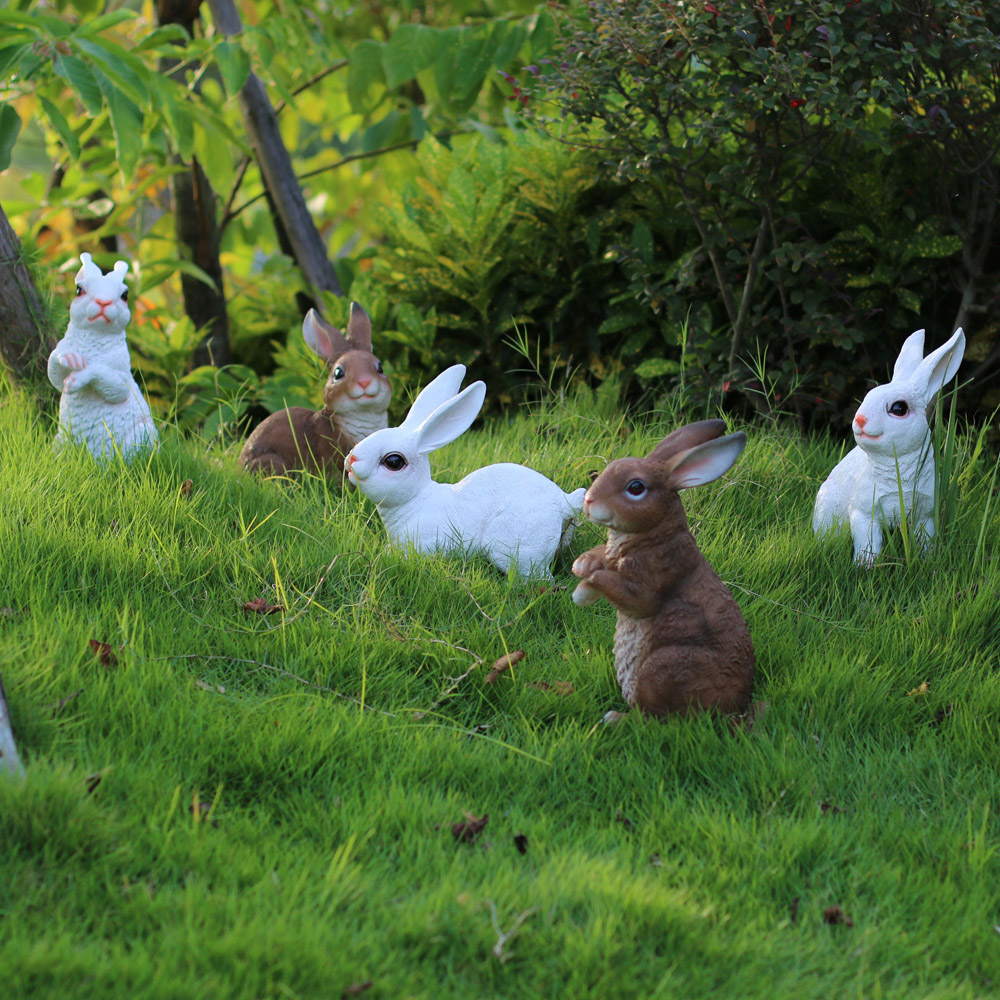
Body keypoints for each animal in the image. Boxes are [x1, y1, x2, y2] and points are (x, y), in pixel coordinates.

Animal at [48, 256, 158, 462]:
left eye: (125, 295)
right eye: (79, 290)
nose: (103, 302)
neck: (95, 333)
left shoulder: (120, 373)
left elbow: (113, 384)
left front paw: (77, 379)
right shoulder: (59, 358)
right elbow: (55, 373)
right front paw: (71, 358)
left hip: (141, 434)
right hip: (60, 439)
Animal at [572, 420, 752, 720]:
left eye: (636, 487)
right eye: (601, 472)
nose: (589, 500)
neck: (655, 535)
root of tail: (735, 706)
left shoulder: (651, 582)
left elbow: (621, 589)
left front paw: (581, 592)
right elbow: (602, 557)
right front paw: (582, 564)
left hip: (662, 669)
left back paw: (615, 718)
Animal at [816, 326, 964, 568]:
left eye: (899, 408)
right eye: (867, 396)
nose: (859, 420)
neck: (898, 465)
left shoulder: (925, 515)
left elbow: (925, 540)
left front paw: (927, 561)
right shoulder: (864, 513)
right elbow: (868, 543)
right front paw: (865, 567)